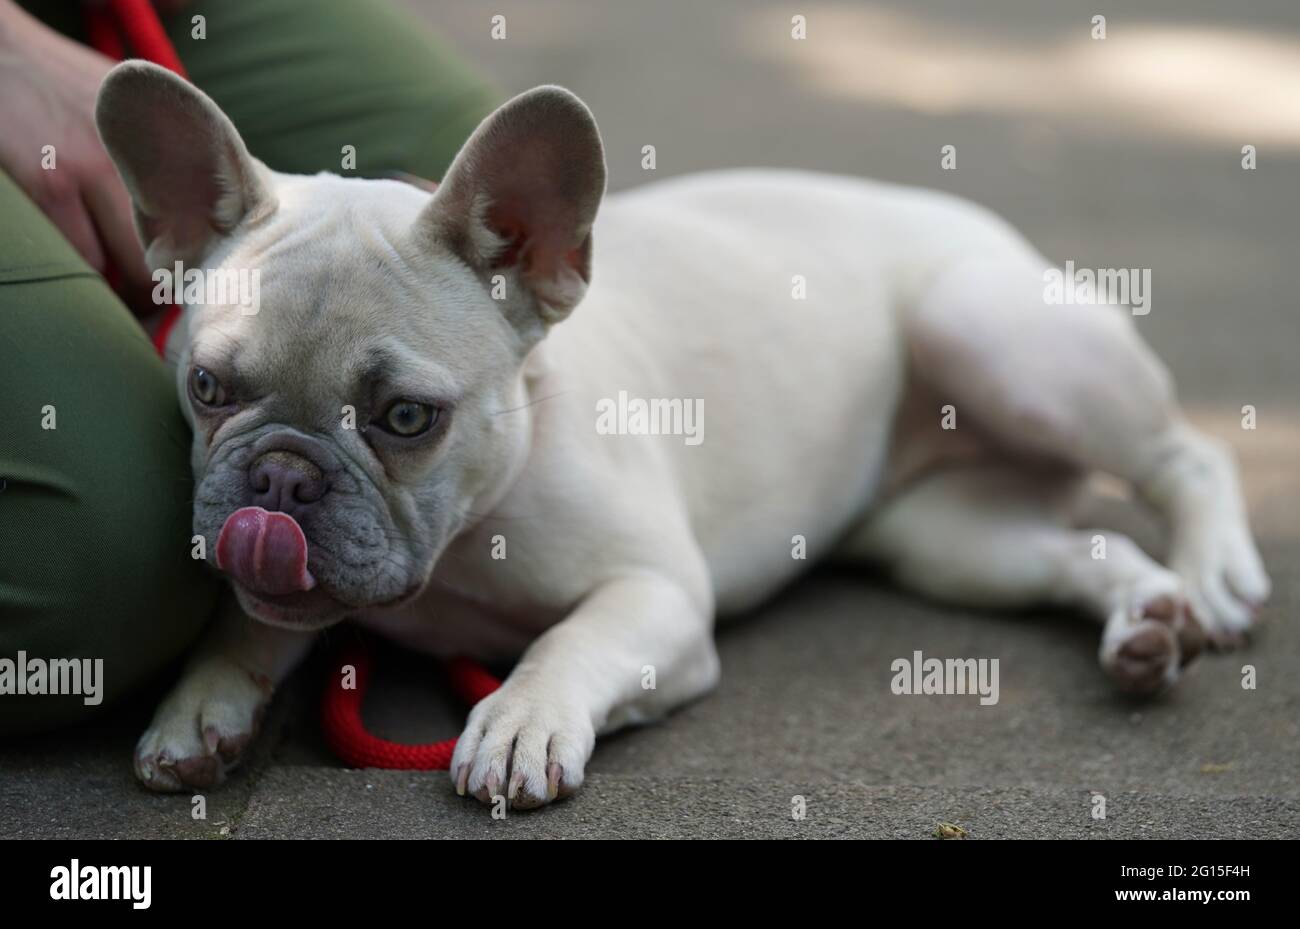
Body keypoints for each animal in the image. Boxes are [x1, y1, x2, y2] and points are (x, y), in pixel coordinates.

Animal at [98, 61, 1268, 810]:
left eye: (405, 418)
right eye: (207, 385)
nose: (281, 476)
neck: (466, 536)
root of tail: (976, 219)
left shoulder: (656, 592)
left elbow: (569, 640)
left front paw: (521, 718)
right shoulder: (290, 590)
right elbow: (248, 623)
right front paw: (200, 708)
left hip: (985, 328)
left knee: (1189, 454)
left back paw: (1216, 579)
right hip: (943, 540)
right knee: (1082, 549)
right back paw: (1147, 623)